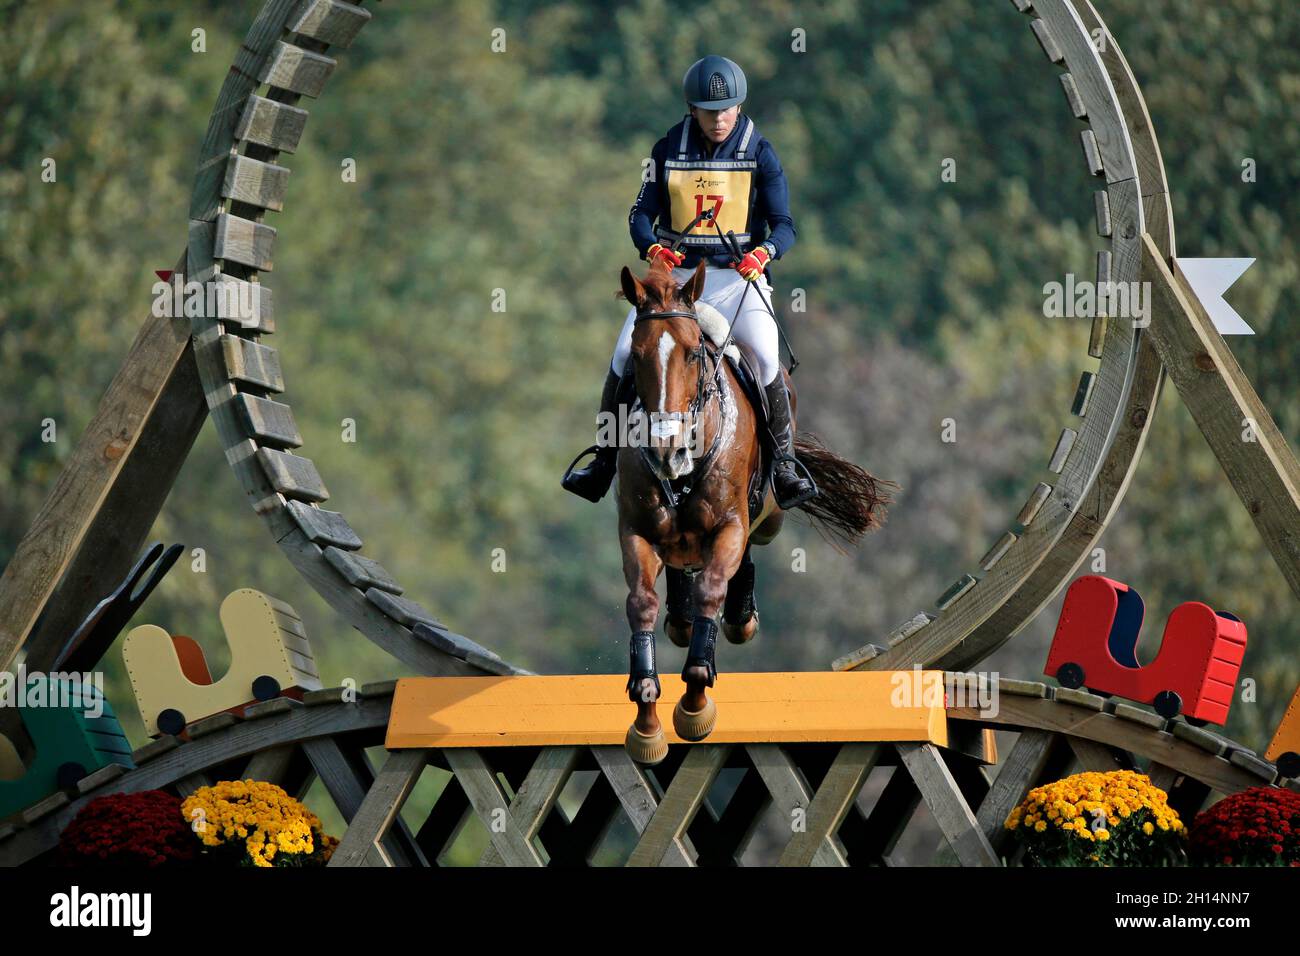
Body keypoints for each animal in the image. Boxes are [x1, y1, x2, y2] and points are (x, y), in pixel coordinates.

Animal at [616, 257, 899, 764]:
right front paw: (646, 722)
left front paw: (695, 705)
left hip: (768, 514)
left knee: (745, 553)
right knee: (681, 581)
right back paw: (682, 618)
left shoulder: (729, 526)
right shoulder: (635, 530)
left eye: (692, 354)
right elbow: (641, 603)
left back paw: (740, 617)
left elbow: (712, 588)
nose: (666, 452)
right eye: (638, 354)